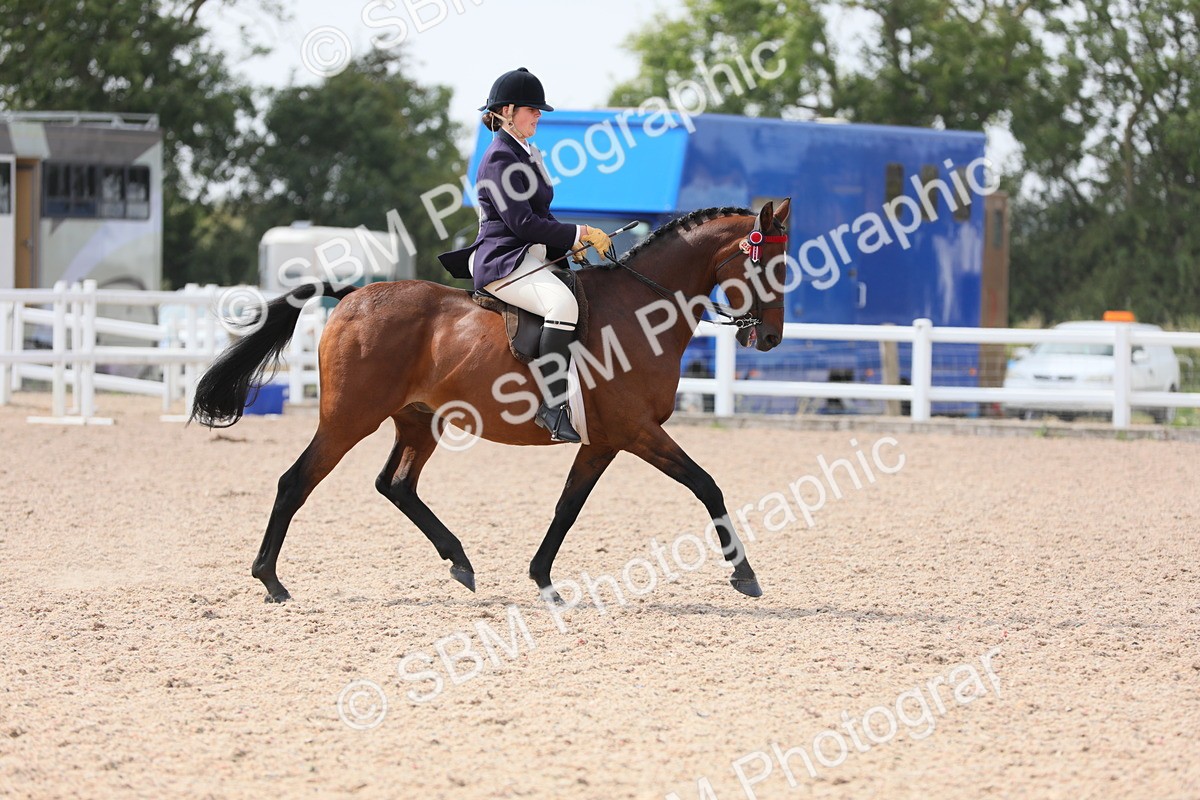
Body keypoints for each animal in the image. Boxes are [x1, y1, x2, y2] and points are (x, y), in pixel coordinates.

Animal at [191, 200, 792, 603]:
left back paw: (460, 562)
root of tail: (352, 294)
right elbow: (706, 484)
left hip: (420, 421)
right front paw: (745, 575)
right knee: (296, 481)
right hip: (349, 419)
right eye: (771, 266)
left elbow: (567, 507)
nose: (768, 339)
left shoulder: (602, 441)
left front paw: (543, 579)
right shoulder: (637, 431)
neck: (641, 310)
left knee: (396, 485)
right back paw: (271, 580)